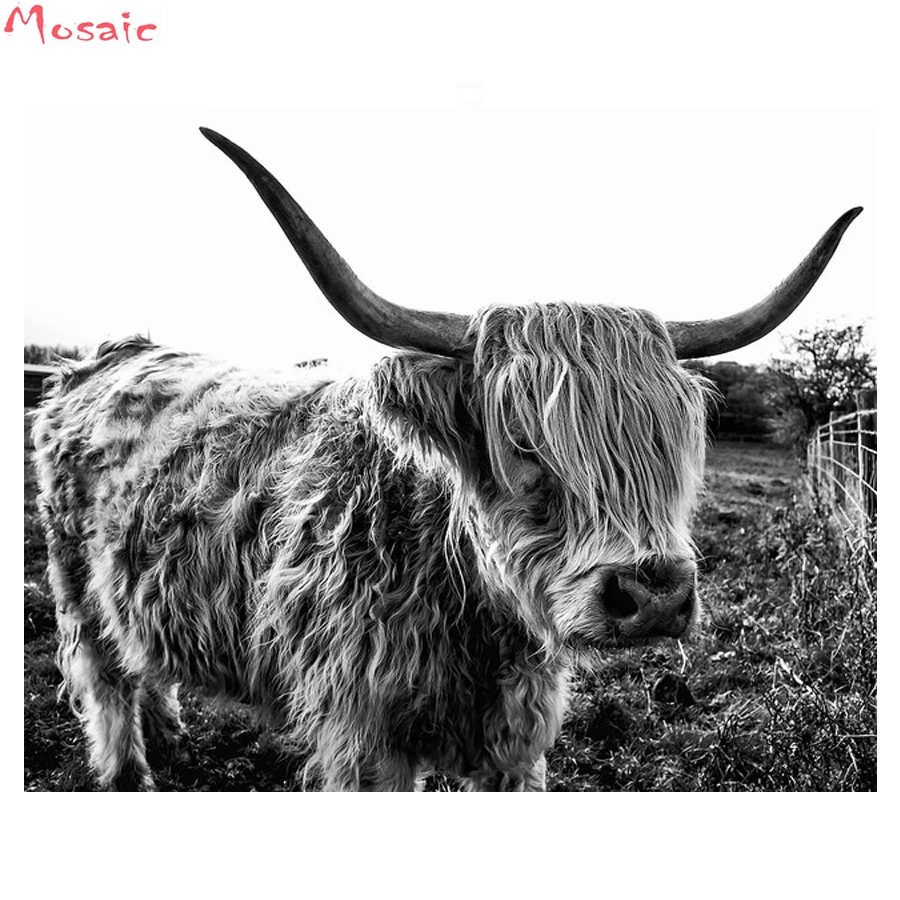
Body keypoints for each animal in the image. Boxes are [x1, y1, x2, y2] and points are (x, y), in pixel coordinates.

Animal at [31, 128, 861, 791]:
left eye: (671, 446)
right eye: (522, 441)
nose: (654, 594)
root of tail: (110, 354)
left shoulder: (516, 744)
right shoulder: (363, 742)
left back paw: (170, 735)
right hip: (74, 586)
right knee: (104, 678)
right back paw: (129, 772)